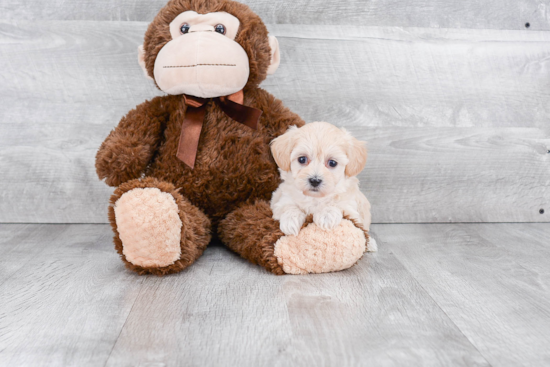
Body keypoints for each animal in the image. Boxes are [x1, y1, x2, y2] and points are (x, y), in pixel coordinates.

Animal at [272, 122, 380, 252]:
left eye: (332, 163)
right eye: (302, 159)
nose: (315, 180)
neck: (315, 198)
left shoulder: (351, 208)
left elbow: (337, 205)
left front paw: (327, 215)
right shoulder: (281, 201)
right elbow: (288, 206)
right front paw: (291, 220)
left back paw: (370, 244)